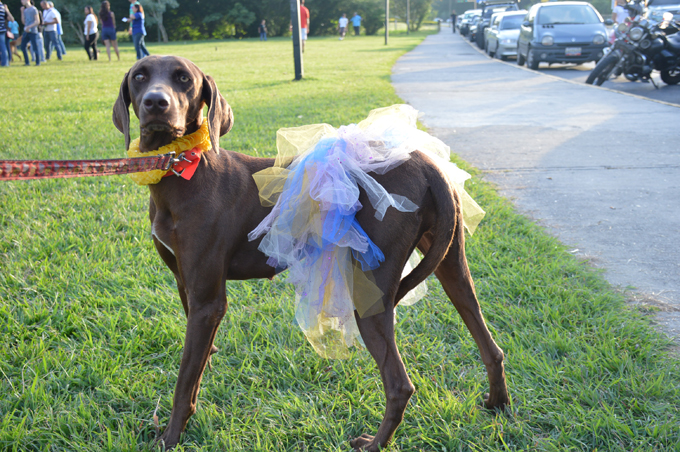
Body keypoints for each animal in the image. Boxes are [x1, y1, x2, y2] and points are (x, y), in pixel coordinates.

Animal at [111, 54, 508, 450]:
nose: (156, 103)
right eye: (140, 77)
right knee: (489, 343)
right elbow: (196, 365)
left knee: (400, 385)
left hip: (371, 295)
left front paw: (170, 437)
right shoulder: (187, 286)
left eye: (184, 79)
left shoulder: (208, 300)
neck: (183, 170)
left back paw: (375, 443)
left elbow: (183, 382)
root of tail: (428, 166)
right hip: (452, 267)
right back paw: (498, 404)